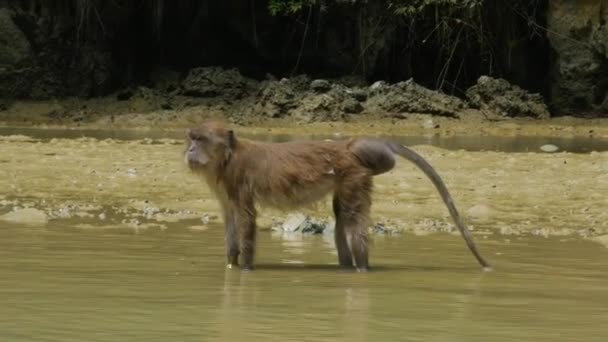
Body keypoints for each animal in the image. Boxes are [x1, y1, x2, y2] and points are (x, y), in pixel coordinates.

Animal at [184, 120, 490, 272]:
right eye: (191, 138)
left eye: (201, 139)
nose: (189, 150)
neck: (226, 158)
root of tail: (347, 147)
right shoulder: (224, 187)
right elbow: (230, 220)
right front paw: (231, 266)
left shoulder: (238, 177)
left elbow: (246, 220)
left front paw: (246, 270)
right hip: (349, 177)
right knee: (341, 217)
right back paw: (346, 268)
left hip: (355, 174)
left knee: (353, 222)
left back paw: (362, 269)